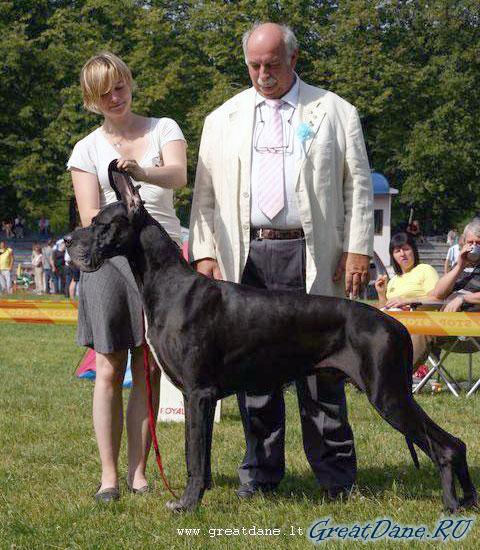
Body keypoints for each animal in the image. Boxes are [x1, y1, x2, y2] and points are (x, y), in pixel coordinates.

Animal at [65, 162, 478, 516]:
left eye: (101, 223)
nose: (68, 240)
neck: (169, 285)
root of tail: (397, 325)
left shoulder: (199, 393)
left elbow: (194, 457)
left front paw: (187, 505)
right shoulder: (194, 396)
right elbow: (197, 454)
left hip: (388, 394)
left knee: (444, 446)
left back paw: (451, 505)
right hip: (393, 393)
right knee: (456, 443)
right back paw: (468, 501)